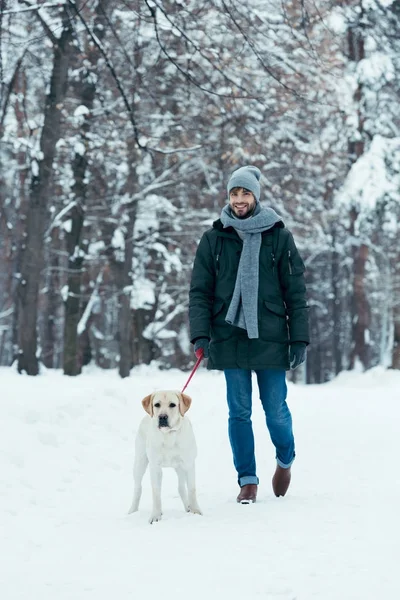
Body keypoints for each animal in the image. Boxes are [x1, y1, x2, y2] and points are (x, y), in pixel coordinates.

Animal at [128, 392, 202, 524]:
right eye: (157, 404)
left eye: (172, 405)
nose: (162, 417)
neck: (168, 435)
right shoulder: (155, 468)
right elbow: (156, 493)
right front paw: (155, 515)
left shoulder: (189, 464)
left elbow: (192, 490)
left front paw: (195, 511)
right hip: (140, 463)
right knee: (137, 488)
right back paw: (133, 511)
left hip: (180, 467)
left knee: (181, 487)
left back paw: (188, 506)